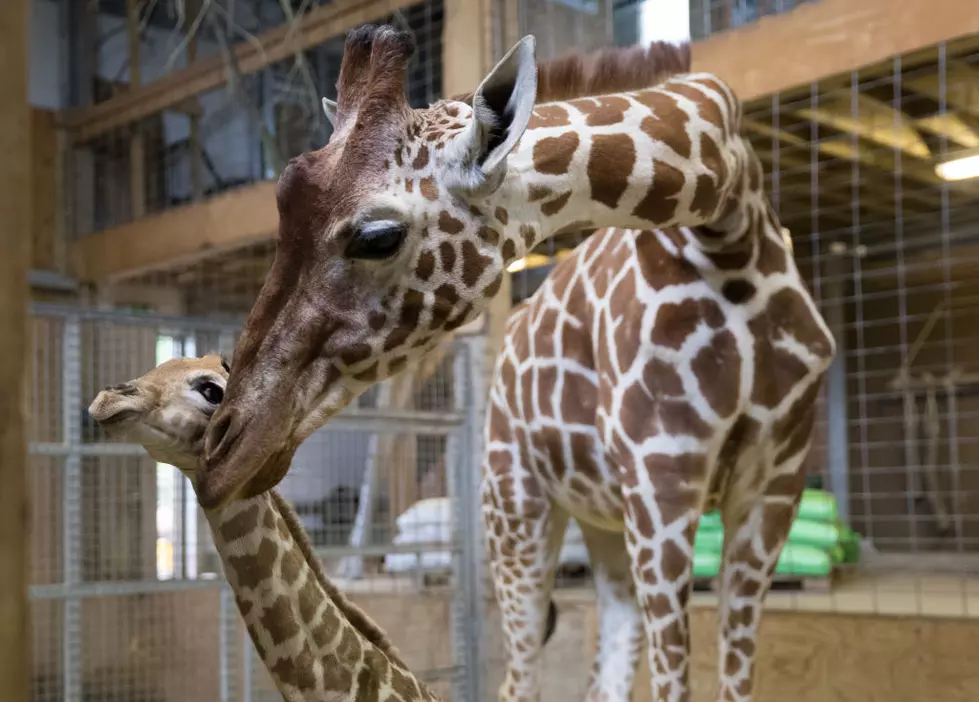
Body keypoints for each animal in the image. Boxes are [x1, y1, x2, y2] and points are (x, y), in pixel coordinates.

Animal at [197, 23, 836, 702]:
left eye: (377, 238)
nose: (222, 449)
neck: (731, 218)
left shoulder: (769, 490)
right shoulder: (662, 480)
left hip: (602, 520)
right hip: (517, 504)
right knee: (521, 673)